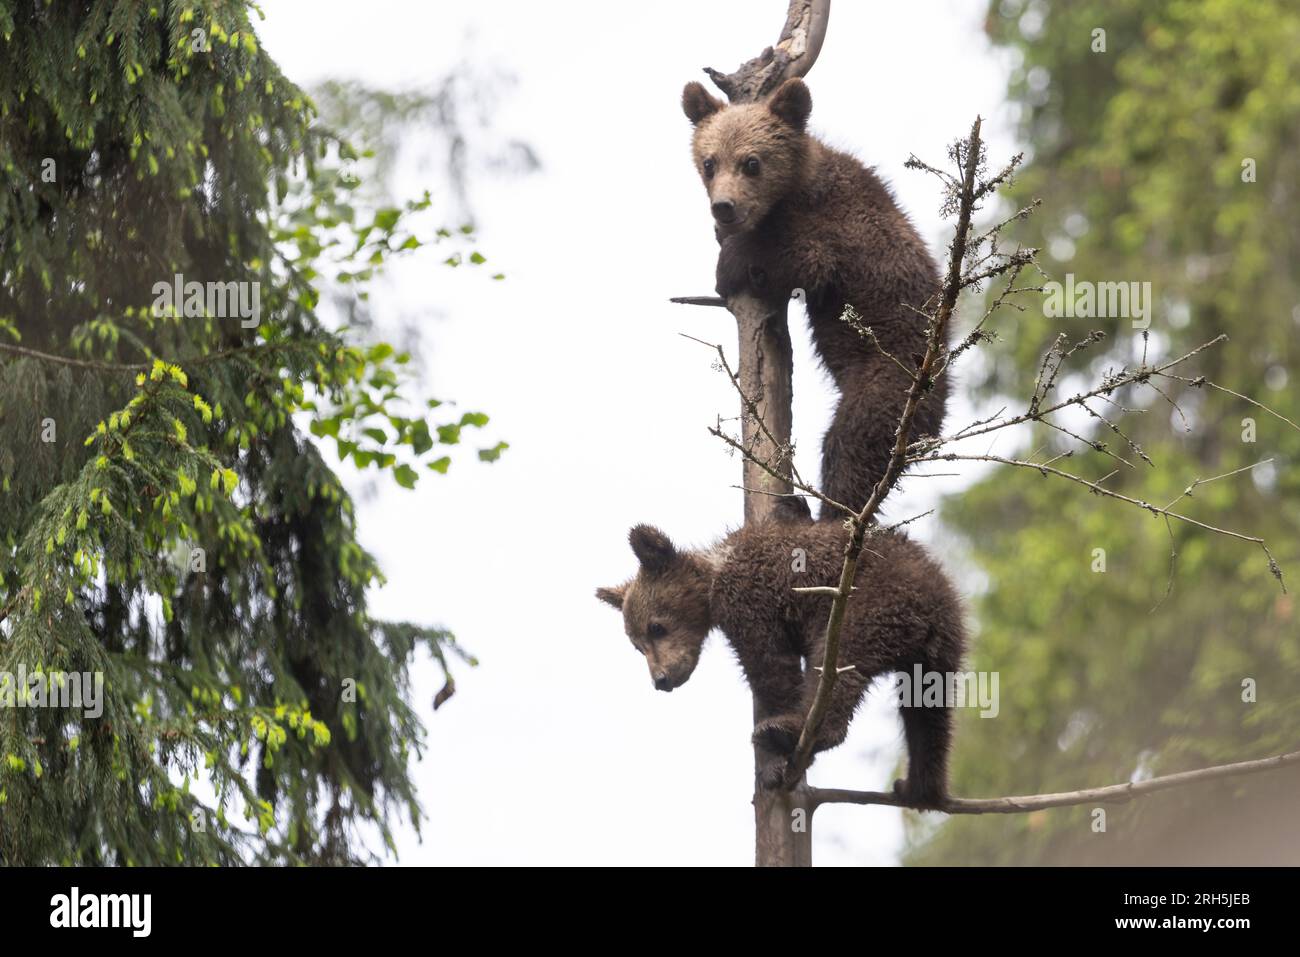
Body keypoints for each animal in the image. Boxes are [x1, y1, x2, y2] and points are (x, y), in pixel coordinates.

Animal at [596, 512, 966, 807]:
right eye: (636, 645)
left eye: (657, 627)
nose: (661, 680)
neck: (715, 575)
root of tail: (930, 611)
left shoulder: (749, 601)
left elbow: (772, 667)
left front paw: (774, 759)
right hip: (941, 650)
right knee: (929, 712)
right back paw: (921, 788)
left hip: (869, 604)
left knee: (837, 663)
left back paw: (792, 729)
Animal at [682, 77, 947, 519]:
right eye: (709, 162)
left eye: (751, 162)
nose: (724, 208)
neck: (794, 188)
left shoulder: (835, 229)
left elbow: (802, 260)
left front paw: (730, 264)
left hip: (889, 376)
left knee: (852, 444)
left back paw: (821, 512)